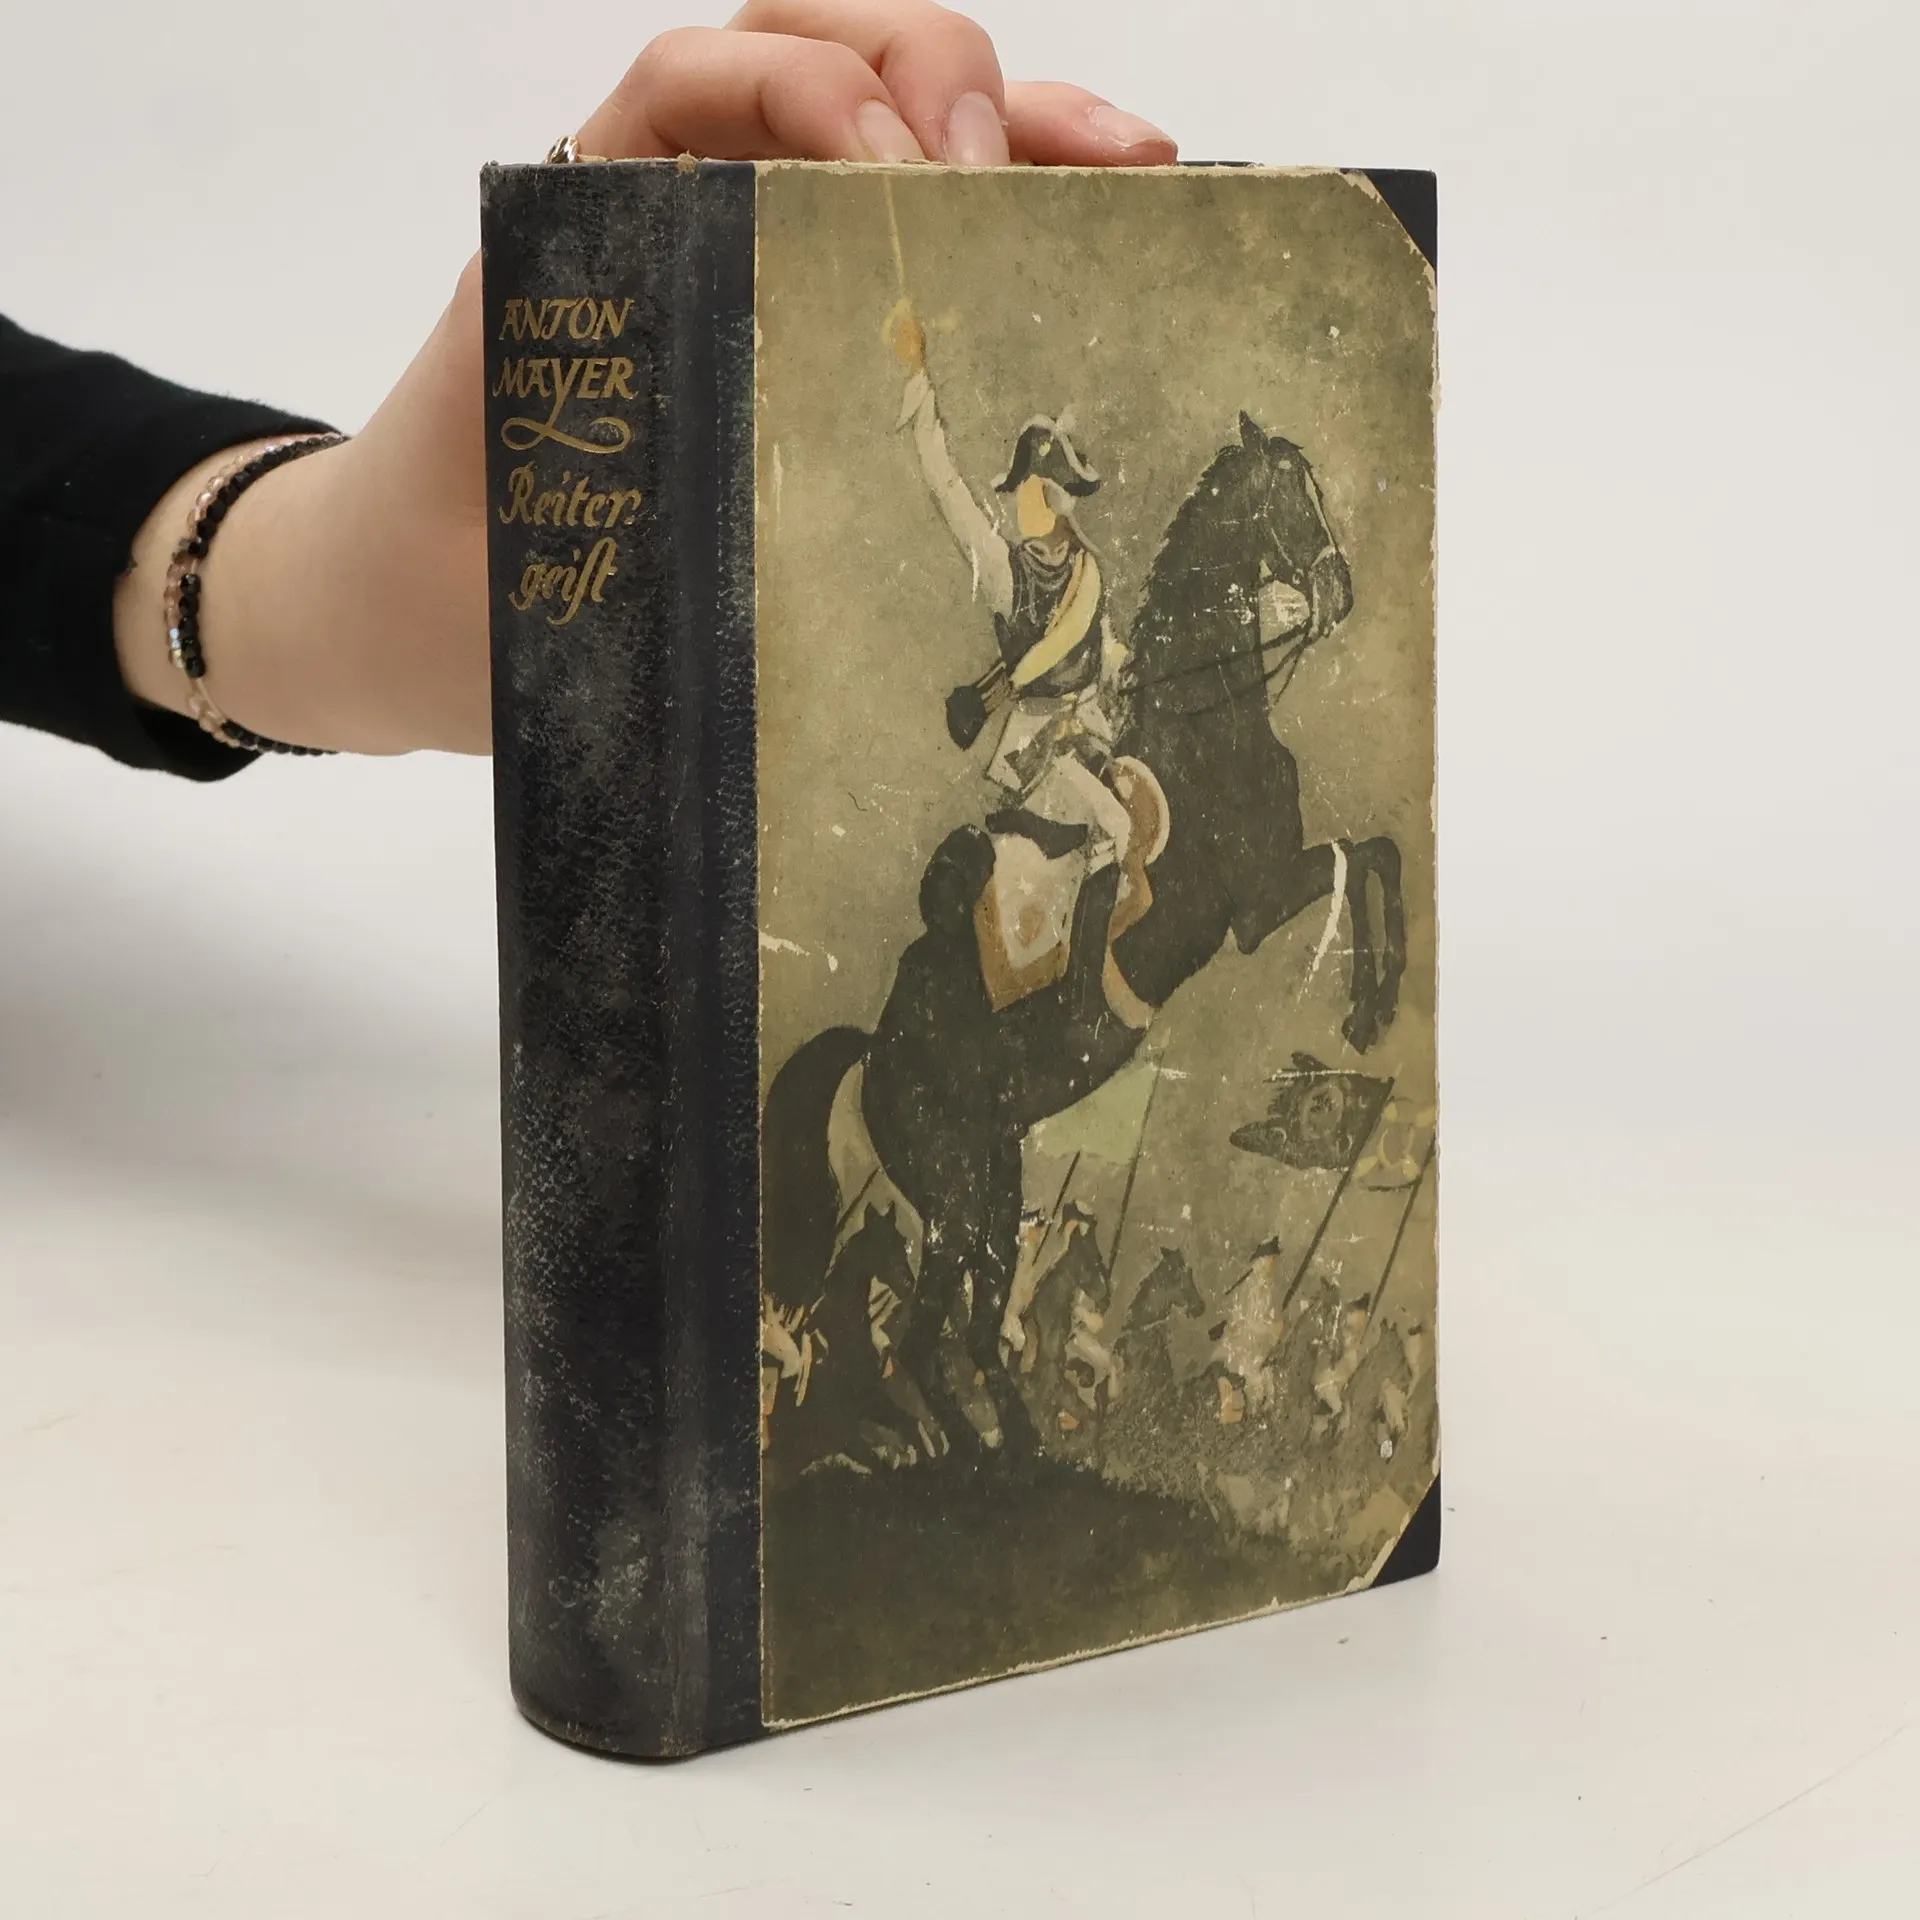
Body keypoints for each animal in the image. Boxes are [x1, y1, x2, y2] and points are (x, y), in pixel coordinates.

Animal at [763, 414, 1405, 1462]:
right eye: (1288, 495)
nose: (1339, 589)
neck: (1205, 720)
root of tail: (877, 1052)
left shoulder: (1271, 887)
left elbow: (1379, 853)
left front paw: (1372, 1006)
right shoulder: (1260, 899)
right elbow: (1372, 857)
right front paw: (1370, 1005)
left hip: (994, 1178)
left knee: (973, 1325)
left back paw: (1011, 1446)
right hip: (952, 1199)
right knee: (930, 1337)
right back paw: (975, 1451)